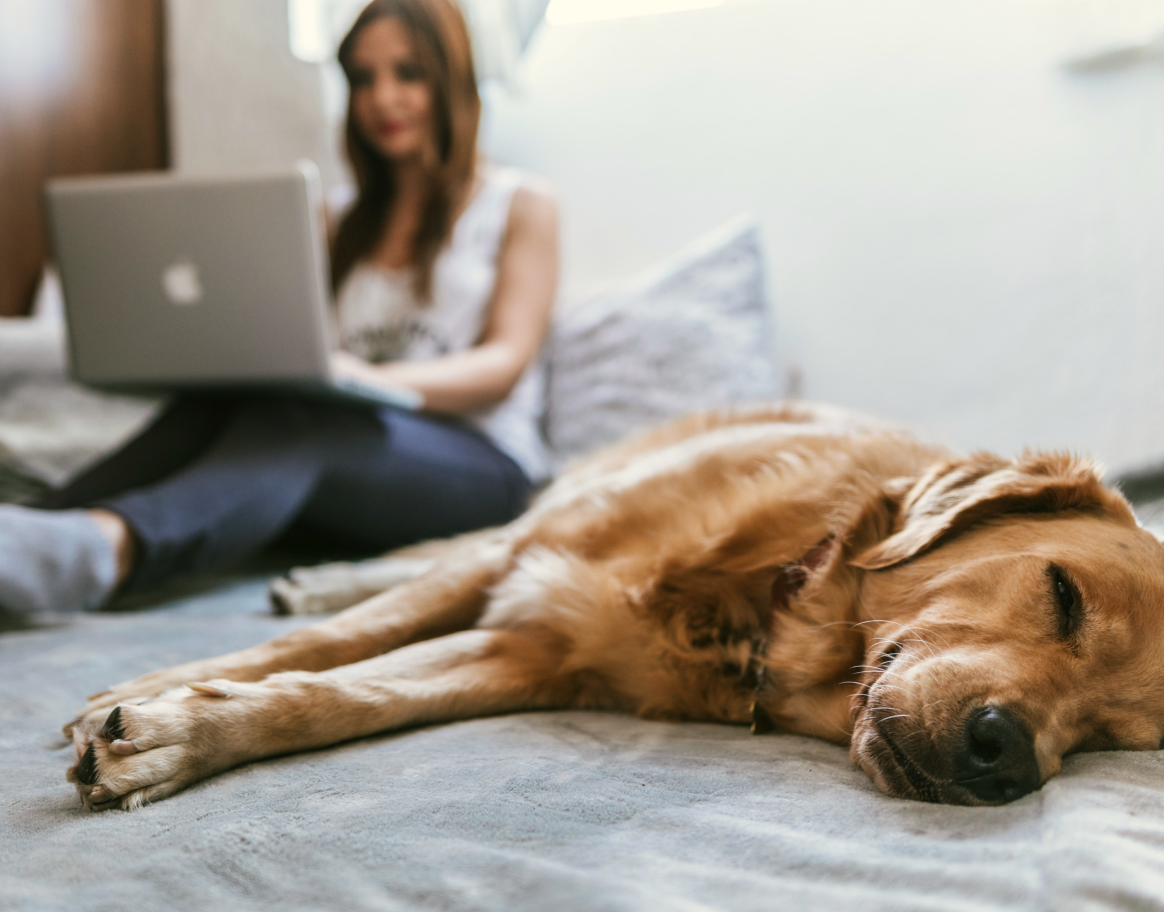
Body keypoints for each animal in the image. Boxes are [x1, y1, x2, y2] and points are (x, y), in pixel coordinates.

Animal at [63, 402, 1164, 809]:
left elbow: (344, 695)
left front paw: (178, 735)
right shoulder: (524, 561)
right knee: (421, 558)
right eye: (1062, 595)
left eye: (1115, 737)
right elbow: (345, 640)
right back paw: (317, 575)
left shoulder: (526, 653)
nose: (1006, 756)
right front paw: (160, 691)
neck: (765, 596)